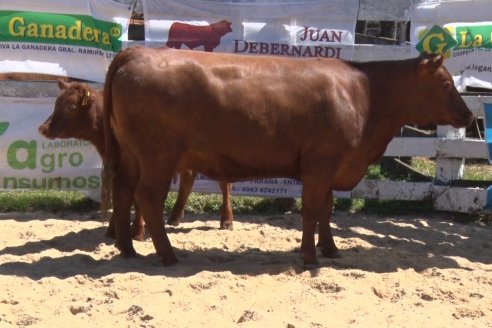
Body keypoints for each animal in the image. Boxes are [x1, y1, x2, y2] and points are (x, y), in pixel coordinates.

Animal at [37, 80, 234, 241]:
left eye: (71, 106)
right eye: (56, 102)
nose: (43, 128)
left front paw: (137, 232)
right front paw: (115, 231)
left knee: (224, 185)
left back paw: (226, 220)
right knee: (189, 177)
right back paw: (174, 217)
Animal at [102, 47, 474, 268]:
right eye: (445, 83)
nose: (469, 116)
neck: (365, 93)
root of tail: (137, 51)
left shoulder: (332, 167)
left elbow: (326, 210)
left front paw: (330, 249)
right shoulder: (320, 165)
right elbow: (310, 210)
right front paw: (309, 256)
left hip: (133, 154)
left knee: (123, 190)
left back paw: (127, 248)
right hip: (158, 155)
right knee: (148, 197)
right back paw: (167, 255)